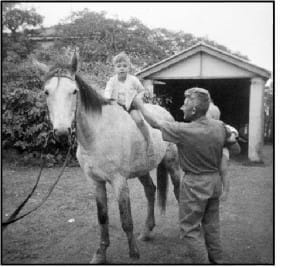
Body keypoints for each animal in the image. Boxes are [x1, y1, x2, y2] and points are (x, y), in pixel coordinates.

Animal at [34, 52, 182, 264]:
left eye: (74, 91)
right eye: (46, 92)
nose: (62, 132)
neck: (96, 136)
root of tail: (166, 115)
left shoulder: (119, 181)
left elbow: (126, 219)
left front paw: (134, 254)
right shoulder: (96, 182)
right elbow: (102, 218)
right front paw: (101, 254)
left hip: (172, 164)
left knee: (178, 191)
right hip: (142, 169)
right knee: (151, 191)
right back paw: (146, 232)